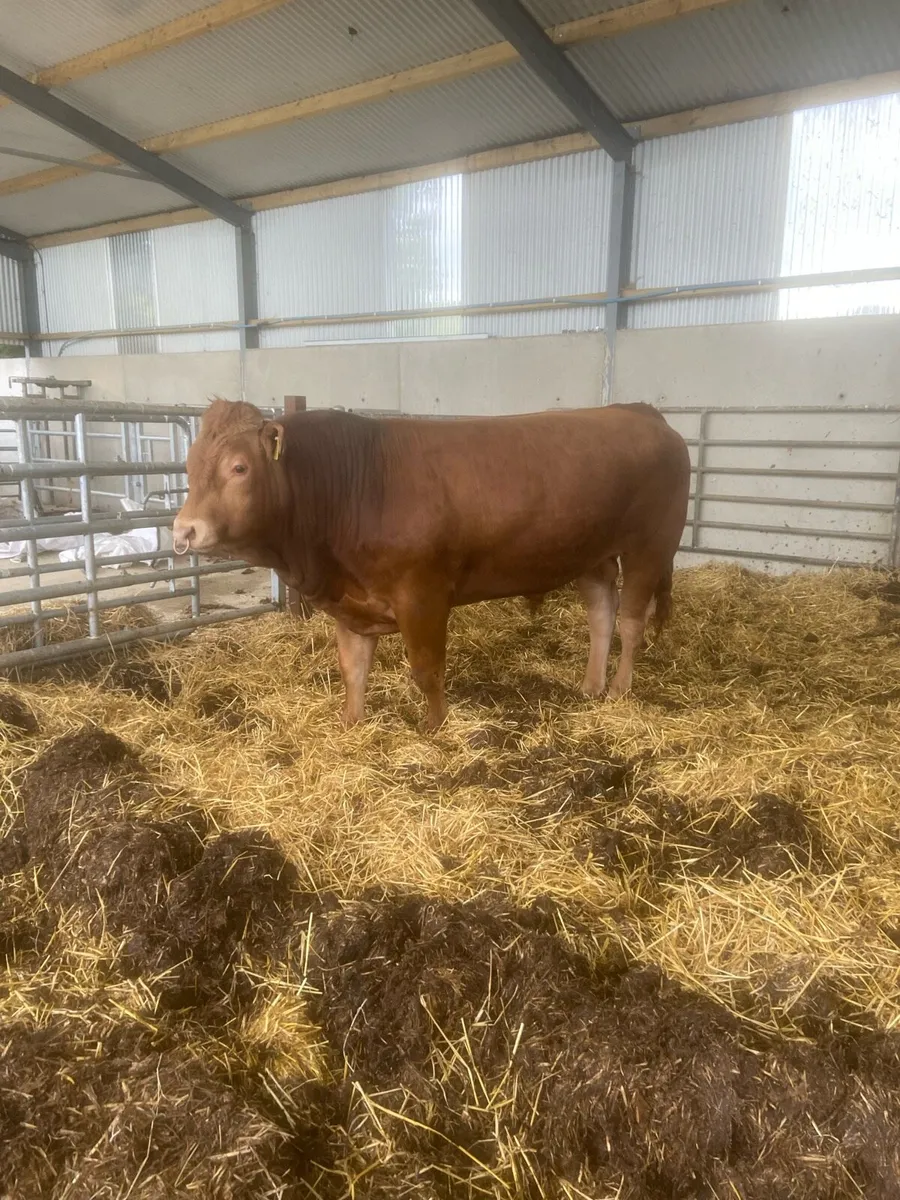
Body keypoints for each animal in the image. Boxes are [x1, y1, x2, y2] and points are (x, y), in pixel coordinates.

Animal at [173, 398, 690, 731]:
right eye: (189, 465)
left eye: (239, 467)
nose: (183, 531)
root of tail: (640, 411)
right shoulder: (351, 600)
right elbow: (353, 668)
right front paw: (351, 723)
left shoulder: (422, 594)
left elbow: (426, 669)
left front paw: (435, 728)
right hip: (591, 553)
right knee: (602, 614)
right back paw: (590, 685)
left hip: (650, 545)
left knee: (631, 621)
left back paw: (619, 689)